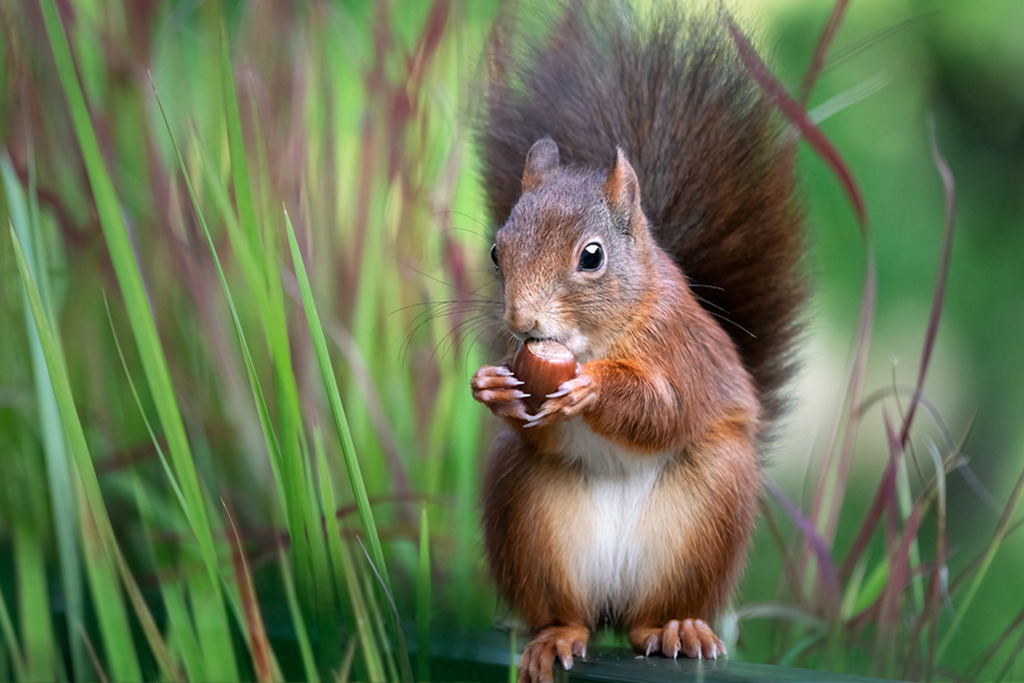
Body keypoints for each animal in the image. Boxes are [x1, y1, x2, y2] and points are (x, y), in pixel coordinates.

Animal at [469, 3, 805, 682]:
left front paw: (593, 390)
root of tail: (615, 604)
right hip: (530, 517)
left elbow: (665, 411)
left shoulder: (680, 349)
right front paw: (493, 386)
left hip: (706, 516)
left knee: (653, 615)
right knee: (567, 612)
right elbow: (534, 426)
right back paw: (556, 635)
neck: (597, 339)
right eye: (496, 250)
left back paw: (676, 628)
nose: (521, 320)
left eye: (592, 257)